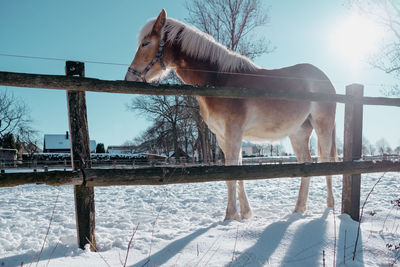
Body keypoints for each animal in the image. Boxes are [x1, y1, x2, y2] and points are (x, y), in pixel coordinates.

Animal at [125, 8, 338, 222]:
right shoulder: (222, 136)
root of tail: (325, 80)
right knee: (306, 165)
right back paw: (299, 209)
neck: (219, 80)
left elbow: (232, 172)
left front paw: (230, 215)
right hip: (298, 133)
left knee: (326, 162)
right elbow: (236, 171)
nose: (130, 76)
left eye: (145, 43)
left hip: (323, 127)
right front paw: (245, 213)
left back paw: (330, 206)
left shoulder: (234, 131)